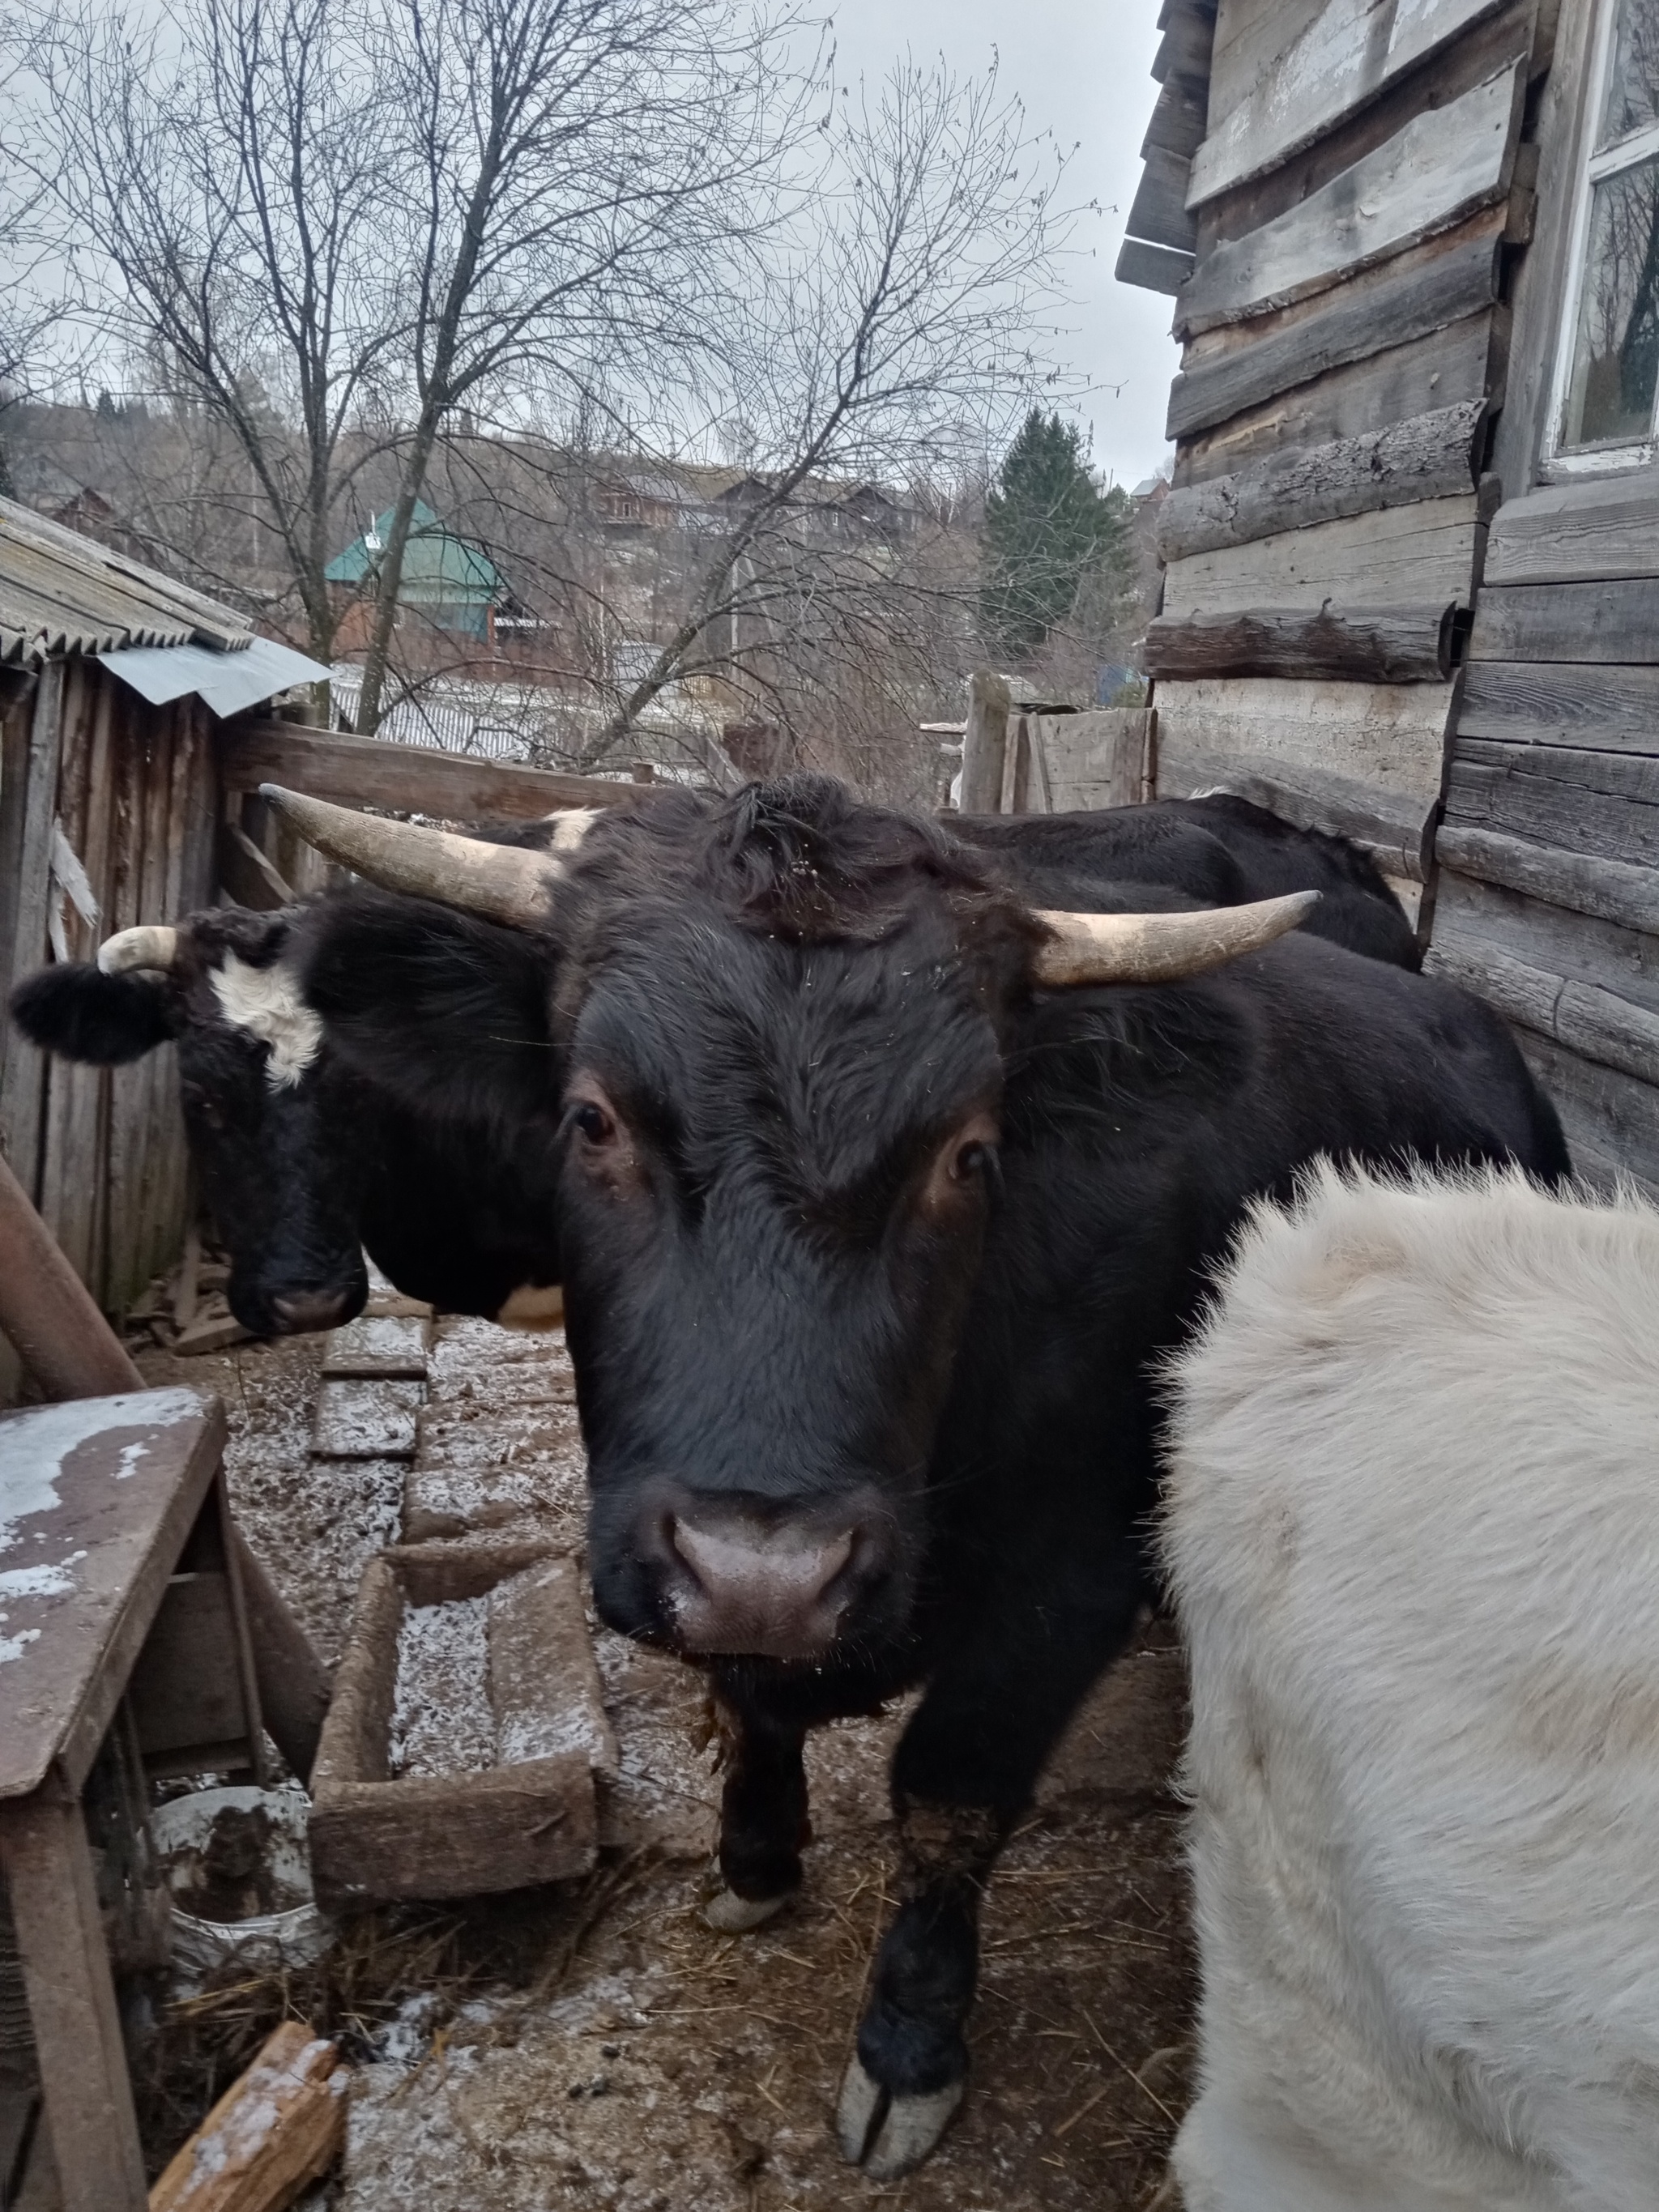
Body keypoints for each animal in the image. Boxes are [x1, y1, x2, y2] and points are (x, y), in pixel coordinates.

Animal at [253, 778, 1566, 2176]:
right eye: (592, 1116)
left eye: (970, 1150)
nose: (766, 1572)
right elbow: (755, 1703)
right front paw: (756, 1858)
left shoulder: (1066, 1578)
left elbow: (948, 1791)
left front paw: (908, 2045)